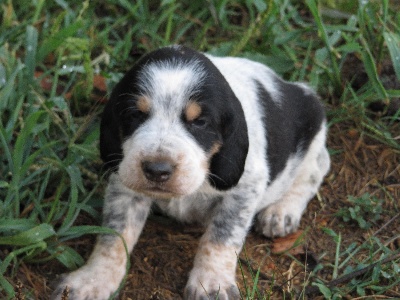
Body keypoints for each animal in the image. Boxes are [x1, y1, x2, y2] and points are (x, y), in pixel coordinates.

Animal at [51, 45, 330, 300]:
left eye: (200, 122)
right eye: (135, 115)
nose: (157, 170)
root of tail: (293, 87)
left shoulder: (244, 190)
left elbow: (221, 237)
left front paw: (212, 283)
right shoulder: (125, 183)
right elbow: (114, 236)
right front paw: (92, 280)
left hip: (313, 132)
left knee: (316, 168)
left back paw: (280, 212)